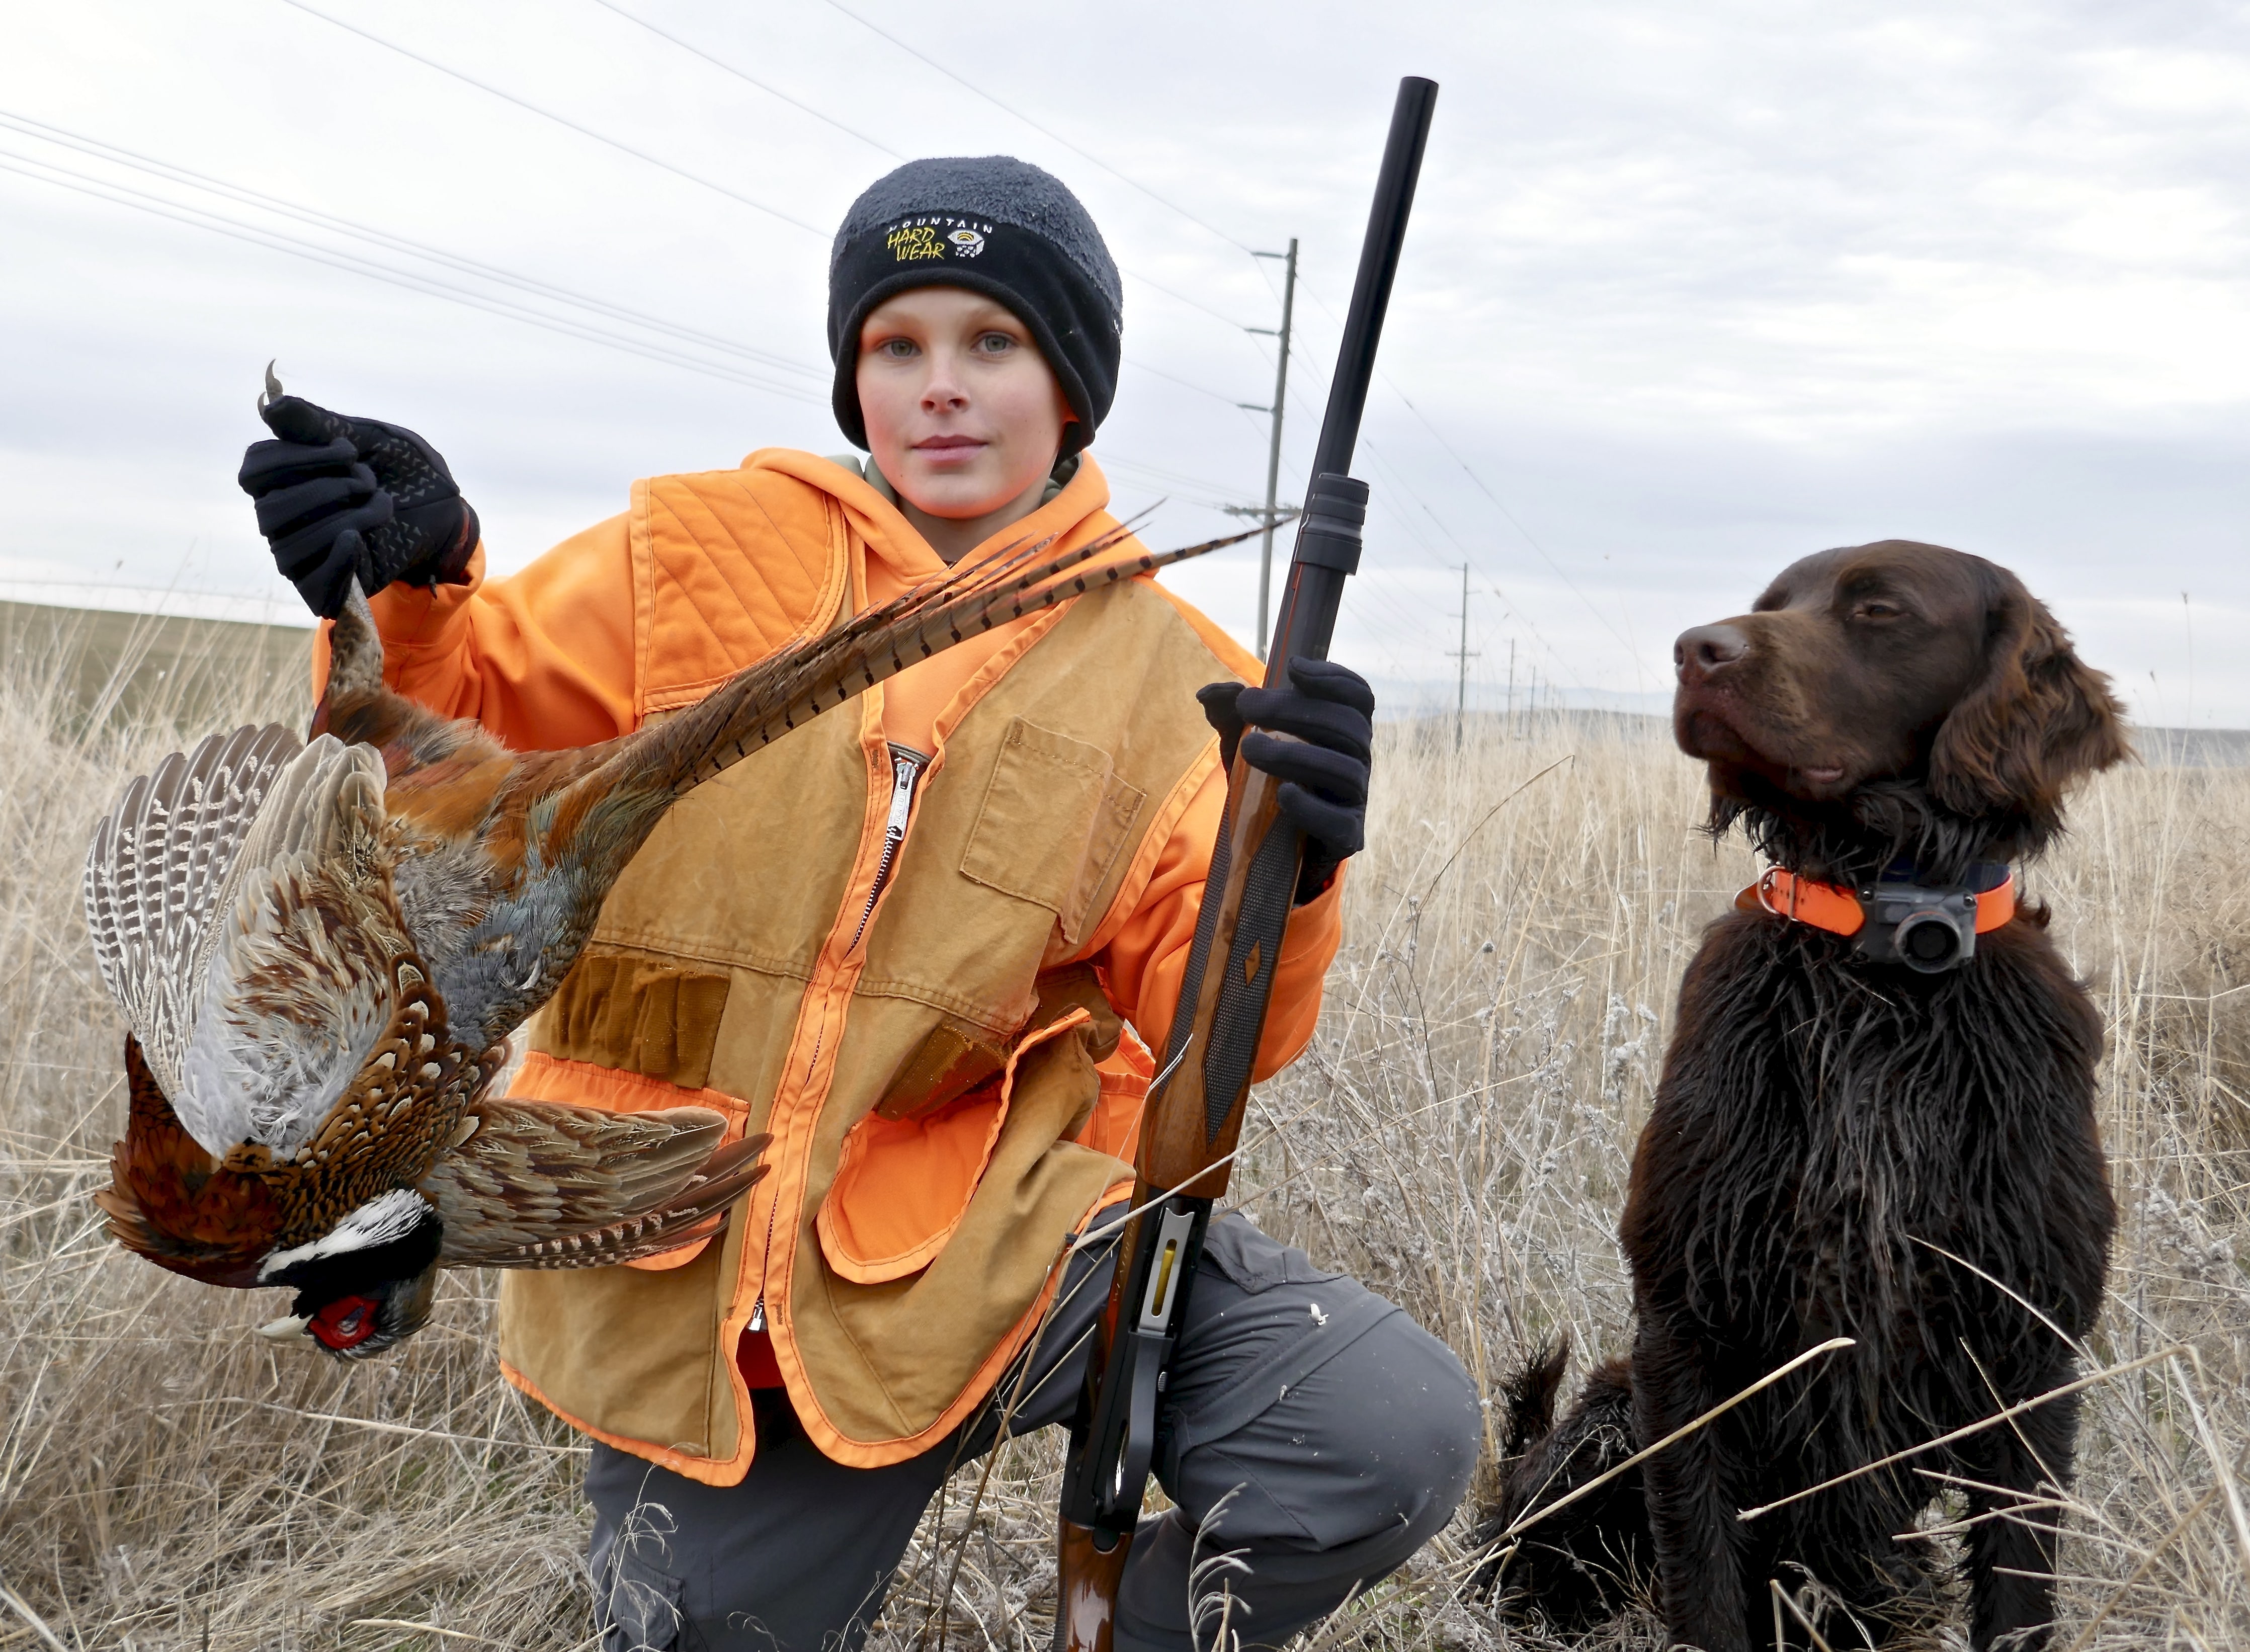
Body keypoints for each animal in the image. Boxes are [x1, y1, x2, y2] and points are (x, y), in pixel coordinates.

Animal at [1476, 541, 2127, 1650]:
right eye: (1769, 602)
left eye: (1877, 608)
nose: (1695, 650)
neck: (1881, 956)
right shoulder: (1683, 1330)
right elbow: (1702, 1576)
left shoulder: (2032, 1349)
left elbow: (2017, 1591)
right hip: (1606, 1414)